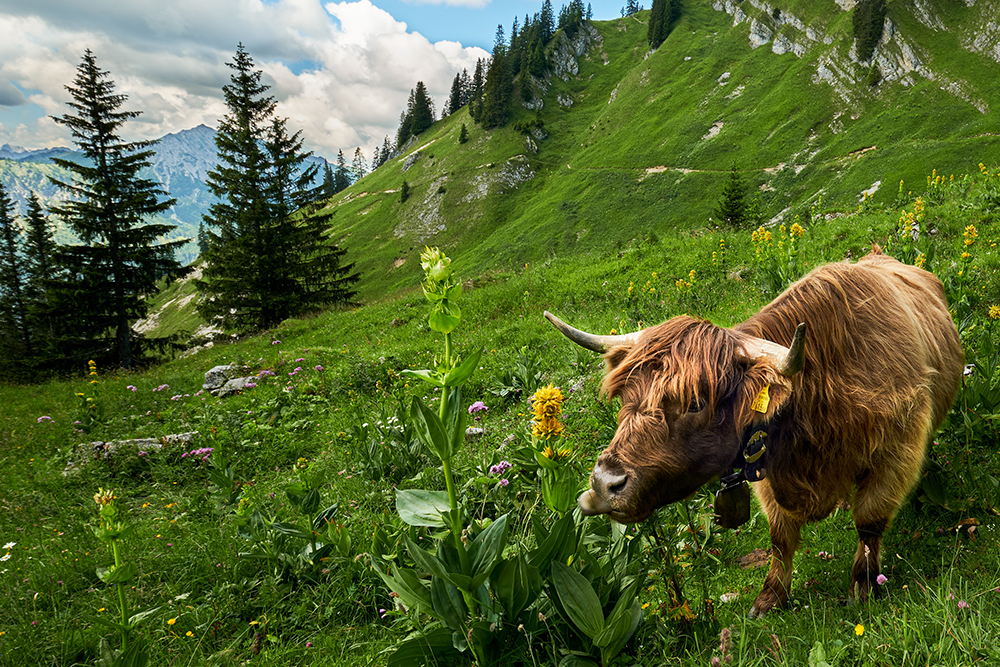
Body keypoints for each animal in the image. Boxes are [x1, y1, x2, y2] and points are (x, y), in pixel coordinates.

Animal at [544, 248, 964, 620]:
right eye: (625, 396)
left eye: (696, 402)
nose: (604, 483)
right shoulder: (765, 469)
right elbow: (780, 537)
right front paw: (770, 598)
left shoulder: (898, 450)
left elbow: (870, 521)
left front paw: (862, 587)